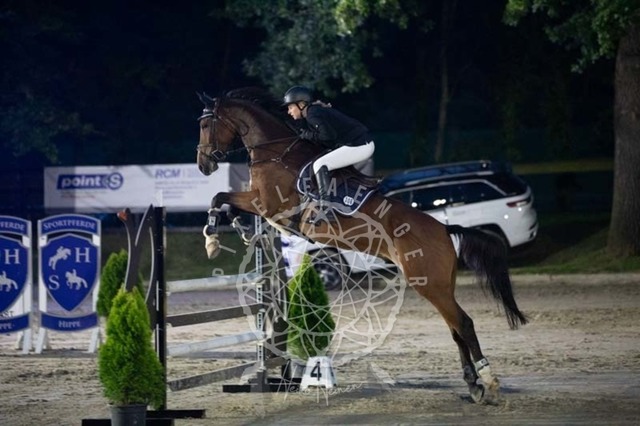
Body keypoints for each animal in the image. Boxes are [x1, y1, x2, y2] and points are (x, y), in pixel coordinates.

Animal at [195, 87, 527, 404]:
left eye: (205, 124)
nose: (203, 165)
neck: (275, 151)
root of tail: (444, 228)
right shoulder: (263, 207)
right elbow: (227, 204)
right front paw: (236, 233)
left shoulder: (267, 203)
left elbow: (219, 197)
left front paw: (211, 239)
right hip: (441, 284)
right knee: (456, 329)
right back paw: (473, 386)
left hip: (430, 284)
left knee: (464, 324)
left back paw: (490, 383)